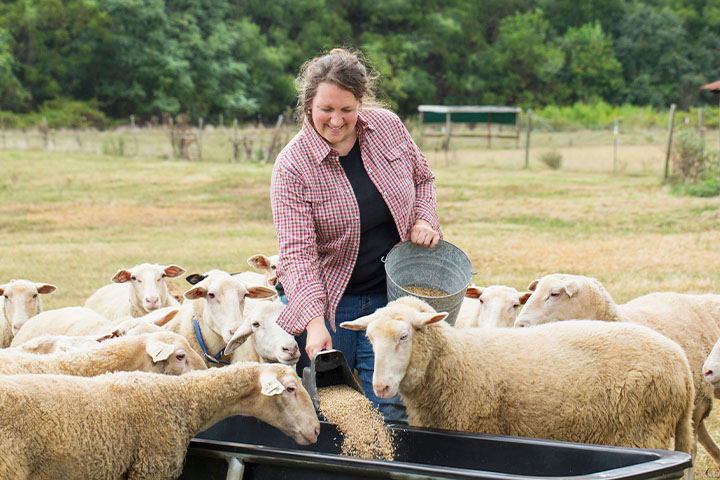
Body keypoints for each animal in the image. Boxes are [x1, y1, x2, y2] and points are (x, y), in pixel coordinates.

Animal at [340, 296, 694, 454]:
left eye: (404, 336)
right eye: (369, 338)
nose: (380, 386)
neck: (457, 359)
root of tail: (681, 363)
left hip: (642, 431)